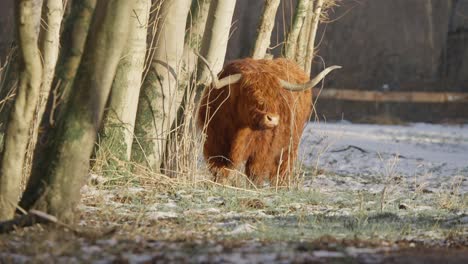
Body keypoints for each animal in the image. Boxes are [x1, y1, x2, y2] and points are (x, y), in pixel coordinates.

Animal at [196, 58, 338, 186]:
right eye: (250, 92)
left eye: (276, 95)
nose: (272, 119)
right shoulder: (213, 144)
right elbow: (219, 172)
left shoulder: (262, 151)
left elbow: (255, 174)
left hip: (290, 144)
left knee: (282, 169)